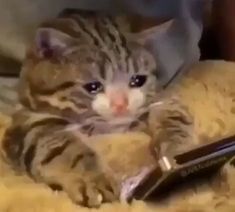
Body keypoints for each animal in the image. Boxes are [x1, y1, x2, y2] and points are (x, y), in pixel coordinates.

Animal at [1, 9, 196, 207]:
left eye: (137, 80)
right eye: (93, 86)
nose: (121, 104)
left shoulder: (159, 98)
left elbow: (172, 113)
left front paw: (177, 150)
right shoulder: (27, 124)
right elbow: (62, 147)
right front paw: (92, 178)